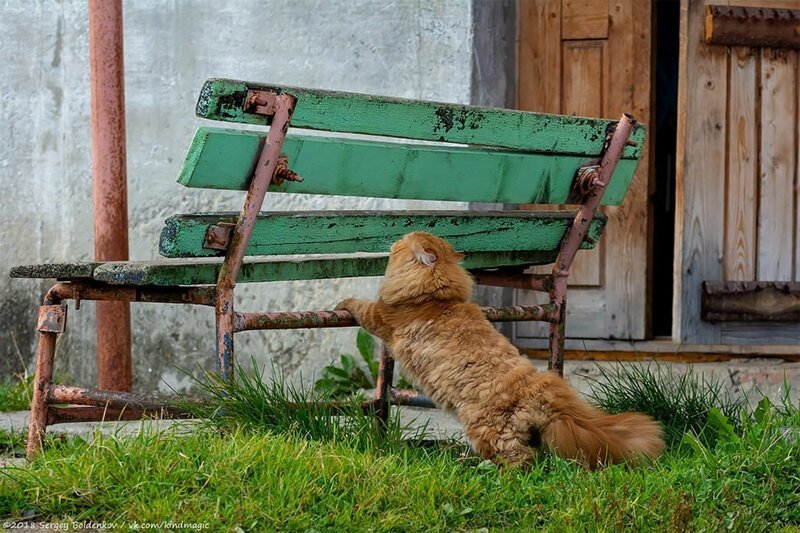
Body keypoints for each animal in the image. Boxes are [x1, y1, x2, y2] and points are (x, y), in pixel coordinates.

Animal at [336, 231, 664, 468]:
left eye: (403, 244)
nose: (395, 240)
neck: (437, 298)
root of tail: (541, 391)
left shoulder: (382, 317)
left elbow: (358, 306)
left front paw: (342, 302)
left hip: (487, 431)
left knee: (521, 461)